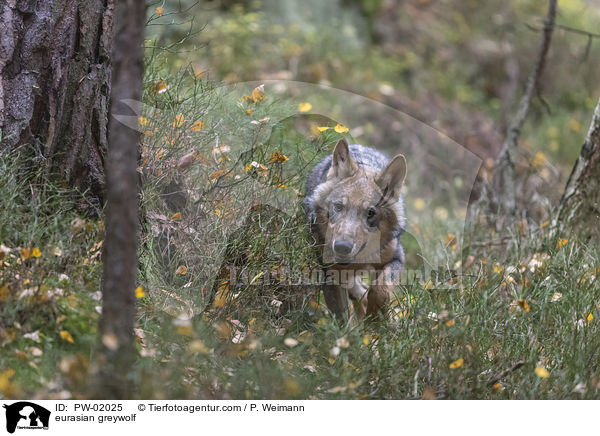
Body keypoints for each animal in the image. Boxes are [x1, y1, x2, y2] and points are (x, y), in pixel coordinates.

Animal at [302, 139, 406, 320]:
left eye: (370, 213)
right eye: (338, 206)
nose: (342, 247)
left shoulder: (396, 258)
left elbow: (379, 290)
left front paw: (375, 320)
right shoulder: (330, 277)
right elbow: (343, 318)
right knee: (358, 293)